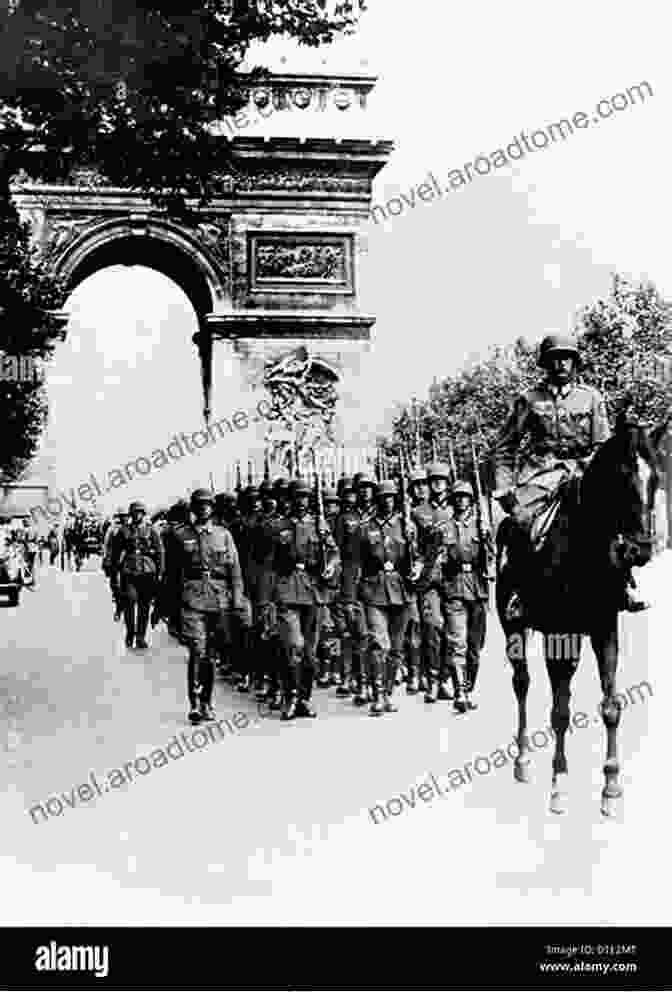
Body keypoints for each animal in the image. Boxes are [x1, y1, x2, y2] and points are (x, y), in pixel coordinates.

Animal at [494, 414, 660, 816]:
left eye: (656, 479)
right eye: (622, 477)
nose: (640, 550)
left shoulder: (604, 630)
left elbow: (611, 705)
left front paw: (611, 785)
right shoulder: (559, 635)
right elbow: (559, 712)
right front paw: (559, 784)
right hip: (513, 627)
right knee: (522, 683)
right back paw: (522, 760)